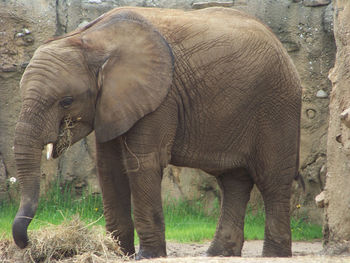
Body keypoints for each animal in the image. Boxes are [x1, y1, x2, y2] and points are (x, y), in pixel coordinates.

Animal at [12, 6, 302, 260]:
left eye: (66, 101)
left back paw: (274, 255)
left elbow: (143, 164)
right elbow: (109, 167)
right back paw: (218, 254)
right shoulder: (112, 104)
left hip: (278, 105)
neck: (92, 38)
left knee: (272, 180)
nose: (28, 243)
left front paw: (147, 256)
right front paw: (119, 254)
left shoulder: (160, 97)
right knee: (233, 181)